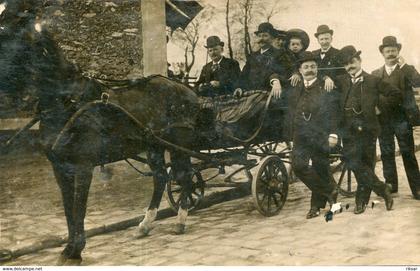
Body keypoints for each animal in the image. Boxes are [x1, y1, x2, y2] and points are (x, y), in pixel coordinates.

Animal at [0, 1, 200, 266]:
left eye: (5, 29)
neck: (68, 101)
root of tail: (187, 90)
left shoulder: (83, 165)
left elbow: (79, 207)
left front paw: (76, 251)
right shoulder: (60, 167)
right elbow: (68, 208)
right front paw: (68, 250)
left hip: (178, 144)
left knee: (185, 176)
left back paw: (180, 221)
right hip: (154, 146)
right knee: (160, 178)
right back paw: (145, 225)